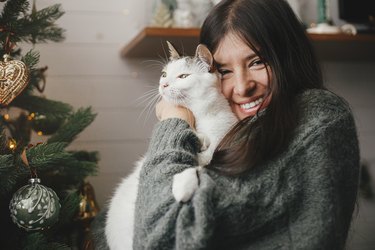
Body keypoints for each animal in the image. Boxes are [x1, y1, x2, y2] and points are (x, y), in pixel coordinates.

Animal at [104, 42, 236, 249]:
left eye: (183, 76)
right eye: (164, 74)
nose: (163, 84)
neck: (199, 115)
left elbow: (201, 165)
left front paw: (183, 186)